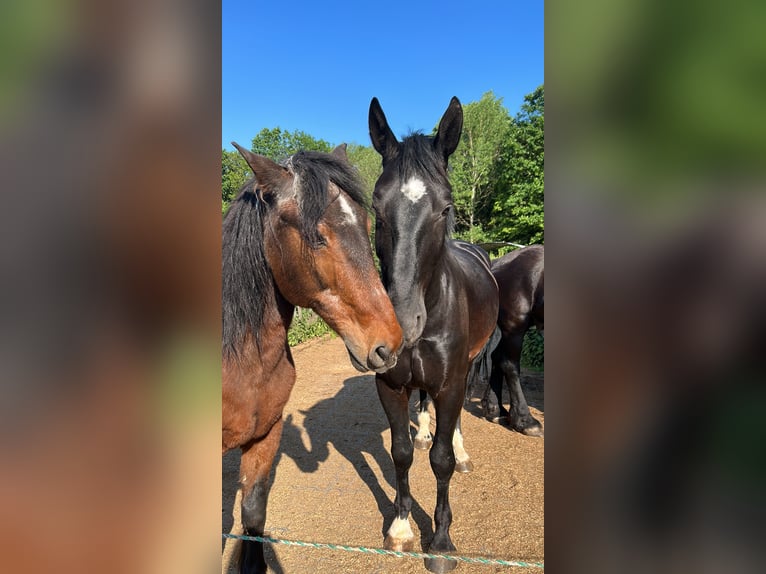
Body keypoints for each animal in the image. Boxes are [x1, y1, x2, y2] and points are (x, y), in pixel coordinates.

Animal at [370, 97, 500, 572]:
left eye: (445, 208)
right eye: (376, 207)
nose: (401, 323)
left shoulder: (451, 383)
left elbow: (439, 461)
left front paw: (441, 539)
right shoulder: (390, 385)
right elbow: (402, 453)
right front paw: (401, 526)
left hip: (466, 371)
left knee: (455, 424)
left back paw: (461, 451)